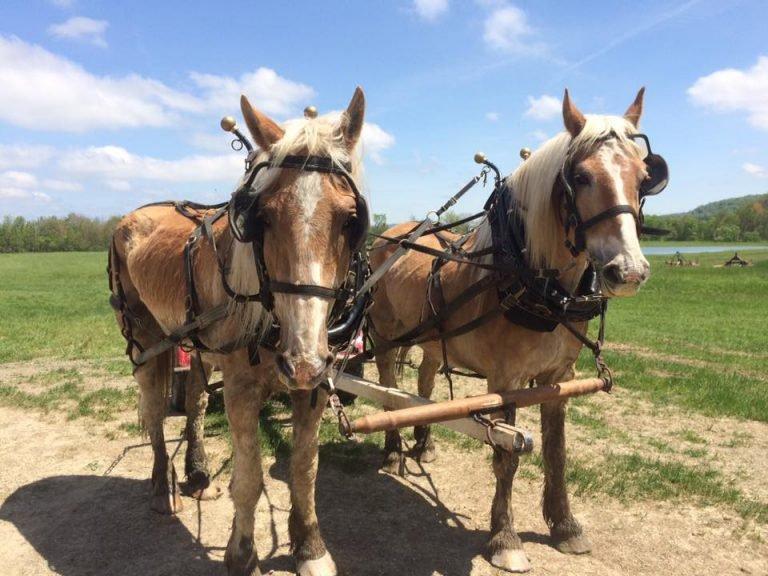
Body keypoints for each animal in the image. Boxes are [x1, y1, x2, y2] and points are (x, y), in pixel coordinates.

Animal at [110, 86, 368, 576]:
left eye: (350, 220)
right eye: (261, 217)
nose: (300, 362)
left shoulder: (316, 384)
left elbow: (304, 469)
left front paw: (309, 545)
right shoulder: (242, 387)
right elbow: (248, 478)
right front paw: (242, 553)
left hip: (195, 344)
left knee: (193, 401)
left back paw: (196, 473)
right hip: (146, 338)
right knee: (154, 410)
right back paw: (161, 488)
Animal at [368, 88, 652, 572]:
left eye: (645, 177)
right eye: (581, 177)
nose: (627, 271)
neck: (531, 279)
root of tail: (392, 235)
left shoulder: (559, 378)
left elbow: (557, 452)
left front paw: (566, 526)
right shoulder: (506, 381)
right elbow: (507, 455)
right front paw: (504, 538)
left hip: (431, 340)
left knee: (423, 382)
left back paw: (423, 443)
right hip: (386, 335)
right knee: (389, 387)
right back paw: (392, 451)